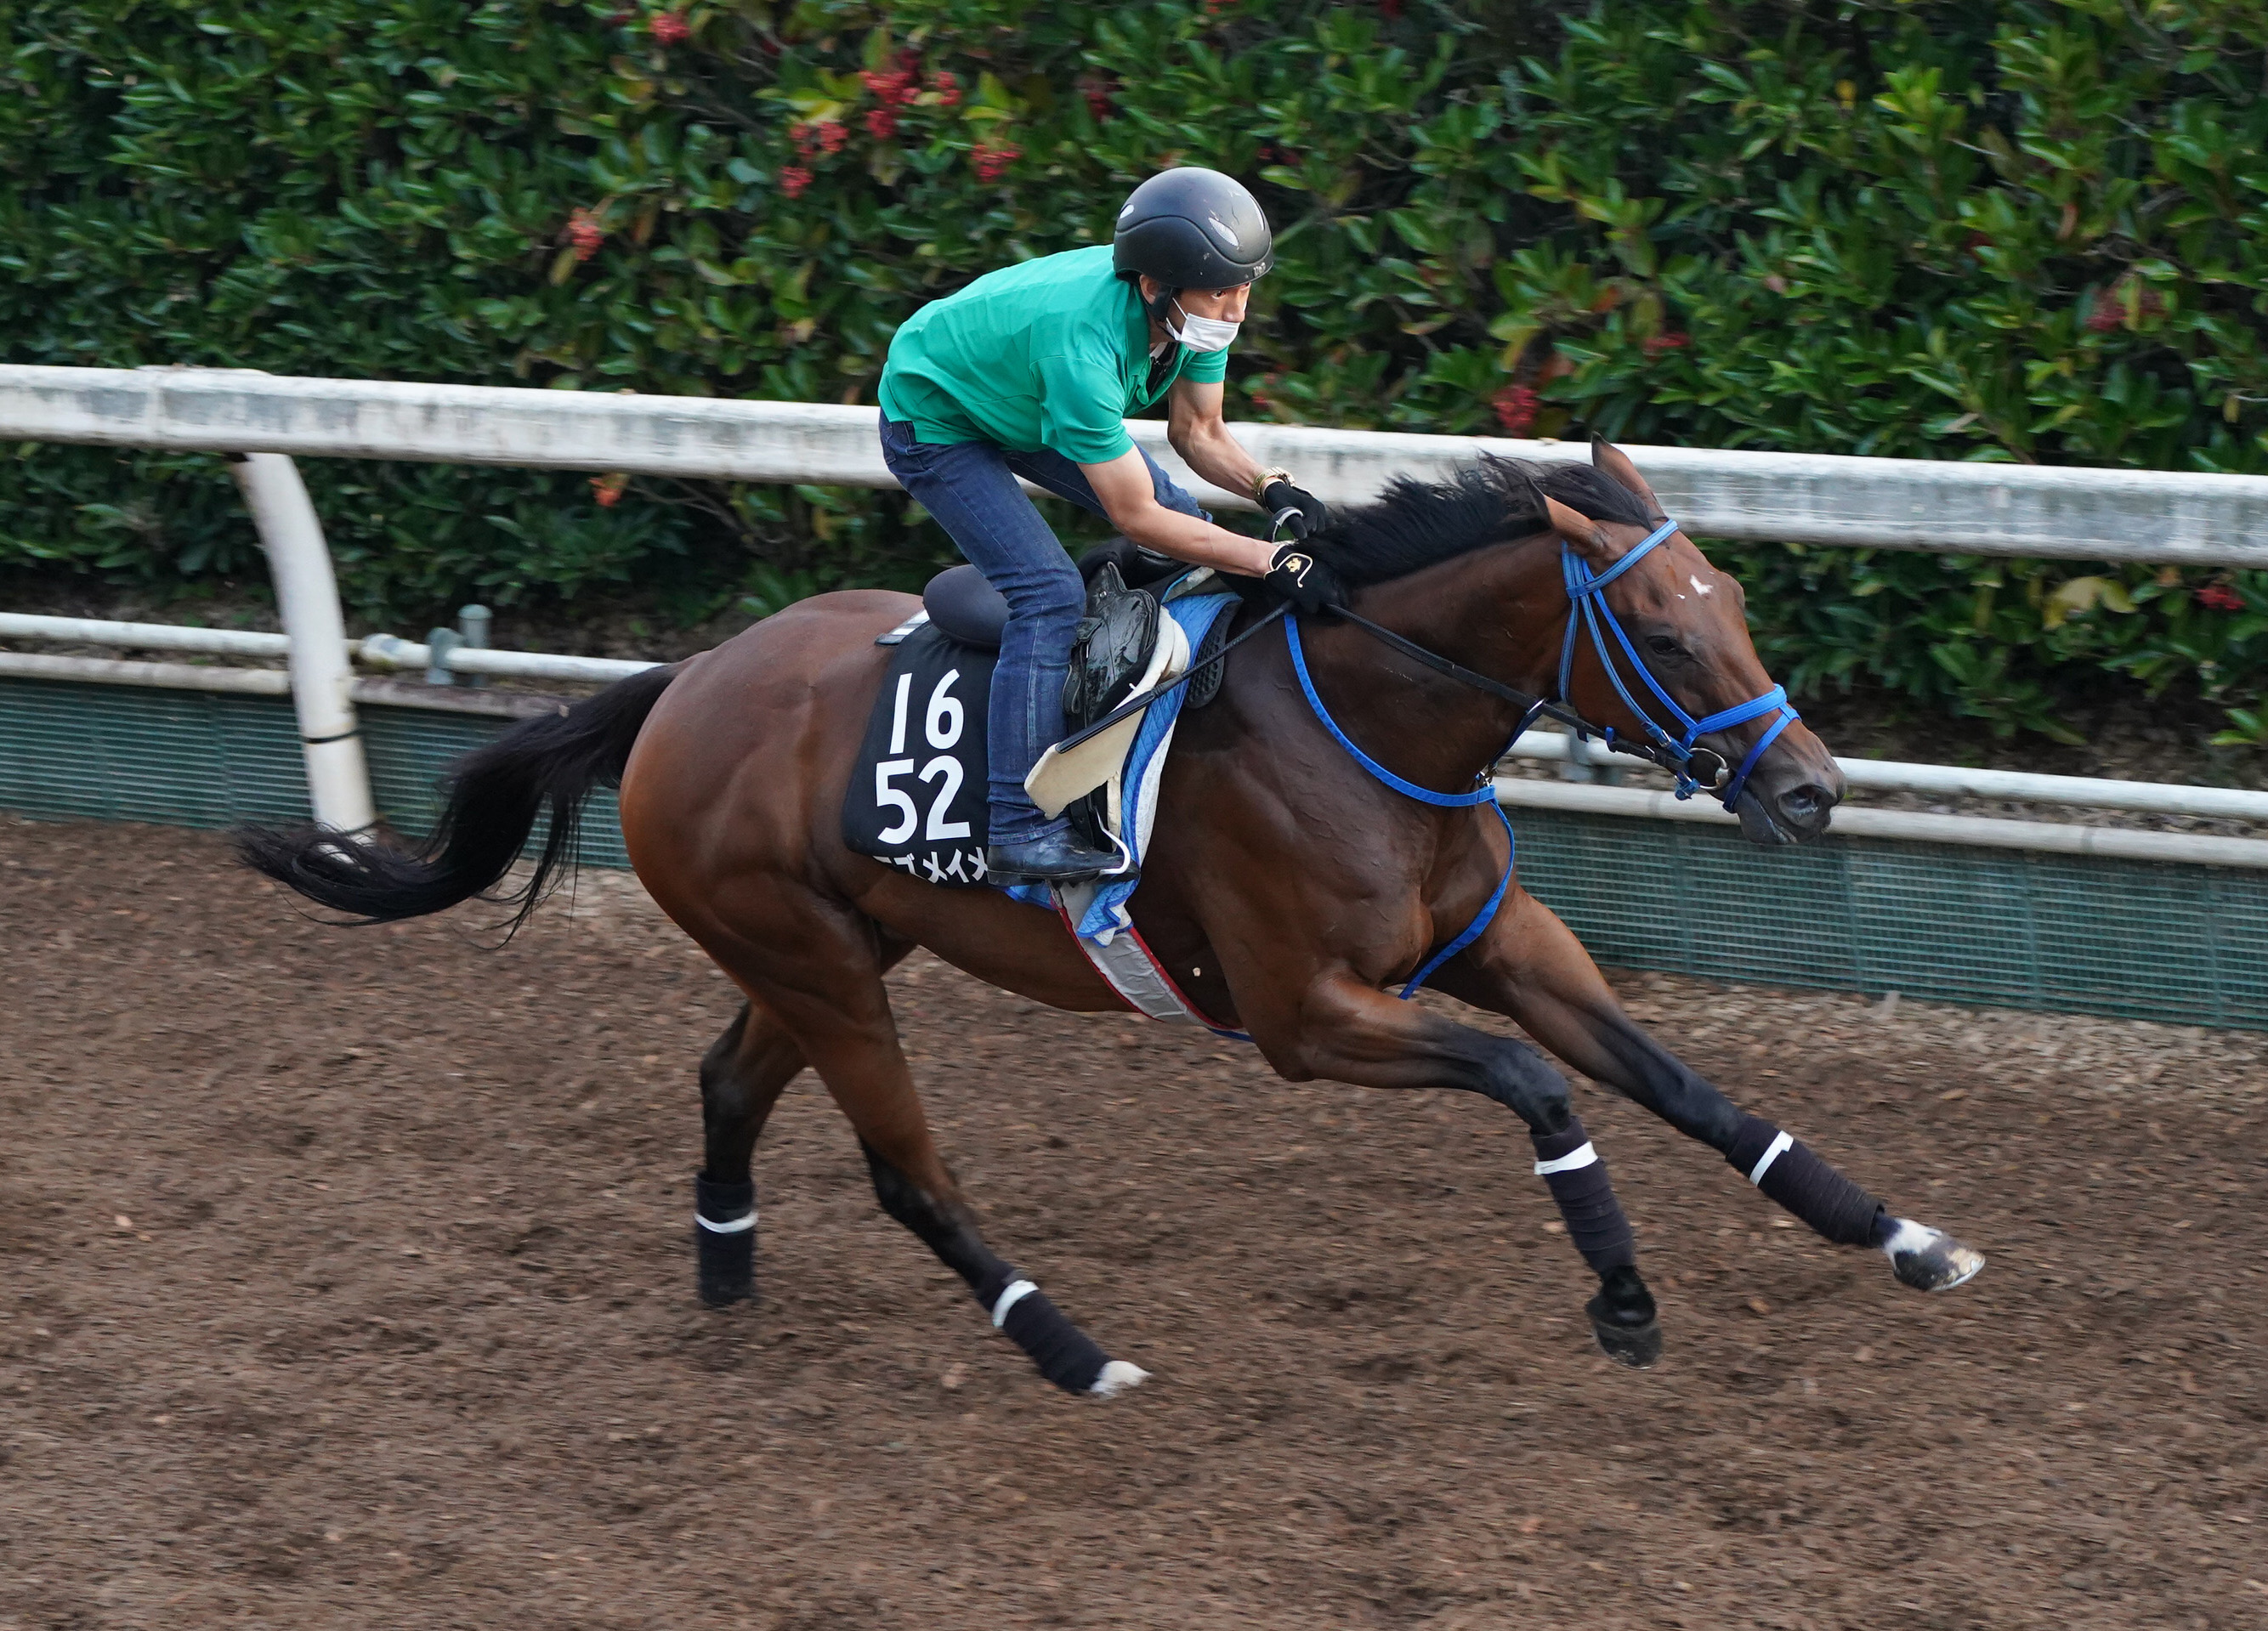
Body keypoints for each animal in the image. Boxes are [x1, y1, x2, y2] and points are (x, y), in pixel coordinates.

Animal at [239, 439, 1987, 1397]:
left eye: (1731, 604)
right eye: (1657, 633)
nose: (1811, 790)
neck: (1364, 722)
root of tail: (681, 686)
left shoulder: (1499, 941)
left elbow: (1691, 1088)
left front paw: (1904, 1234)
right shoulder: (1304, 1016)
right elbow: (1543, 1089)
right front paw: (1622, 1297)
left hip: (831, 946)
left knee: (729, 1080)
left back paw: (727, 1269)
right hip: (821, 963)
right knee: (907, 1171)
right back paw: (1070, 1347)